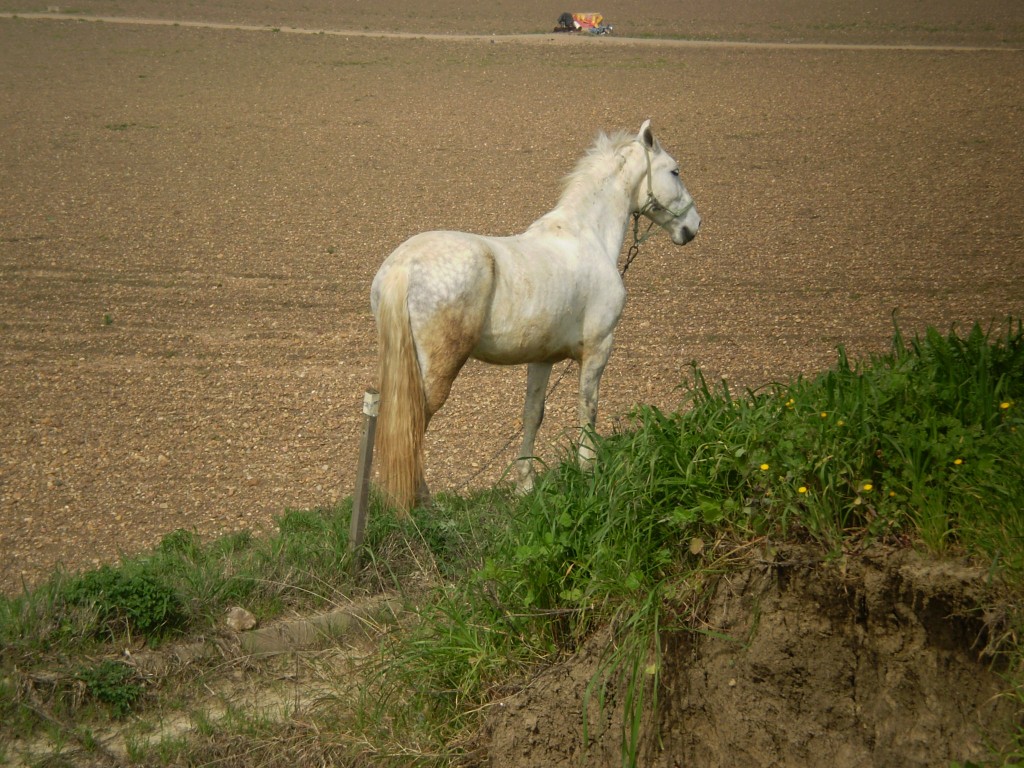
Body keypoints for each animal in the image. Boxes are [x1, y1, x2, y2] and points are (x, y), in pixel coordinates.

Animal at [372, 120, 700, 514]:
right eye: (675, 171)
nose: (693, 226)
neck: (586, 235)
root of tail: (402, 266)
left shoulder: (542, 359)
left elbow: (532, 415)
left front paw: (525, 486)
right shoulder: (598, 349)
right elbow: (587, 409)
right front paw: (588, 473)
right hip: (437, 370)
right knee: (413, 423)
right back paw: (423, 502)